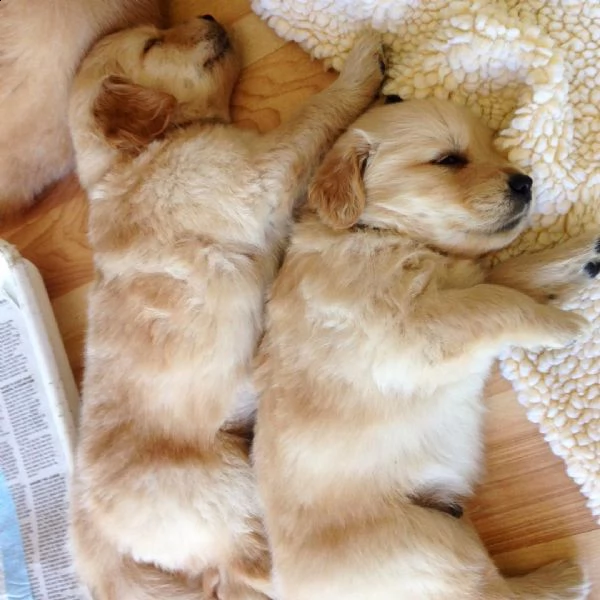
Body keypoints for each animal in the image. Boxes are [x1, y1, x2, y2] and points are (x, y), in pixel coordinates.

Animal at [67, 16, 384, 600]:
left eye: (157, 28)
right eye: (152, 44)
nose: (211, 18)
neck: (139, 155)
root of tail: (92, 538)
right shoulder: (259, 170)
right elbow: (313, 114)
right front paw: (359, 68)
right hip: (226, 488)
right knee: (251, 566)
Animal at [254, 98, 596, 600]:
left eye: (491, 147)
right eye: (449, 160)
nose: (525, 182)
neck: (373, 231)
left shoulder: (461, 284)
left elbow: (508, 276)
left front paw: (580, 255)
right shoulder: (415, 330)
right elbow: (499, 300)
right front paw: (560, 324)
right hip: (431, 546)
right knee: (492, 591)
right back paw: (566, 577)